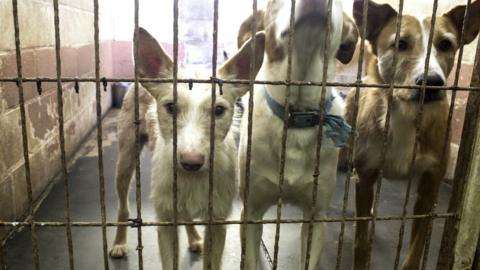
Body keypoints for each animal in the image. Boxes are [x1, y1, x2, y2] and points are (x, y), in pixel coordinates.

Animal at [109, 28, 266, 270]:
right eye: (171, 107)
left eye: (218, 110)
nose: (191, 162)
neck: (192, 179)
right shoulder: (165, 222)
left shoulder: (217, 222)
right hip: (125, 161)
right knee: (123, 206)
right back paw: (119, 242)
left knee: (186, 216)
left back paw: (194, 238)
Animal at [344, 1, 480, 268]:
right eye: (400, 44)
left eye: (446, 44)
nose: (432, 82)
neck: (406, 114)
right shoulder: (365, 176)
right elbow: (360, 244)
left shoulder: (429, 188)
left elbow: (416, 250)